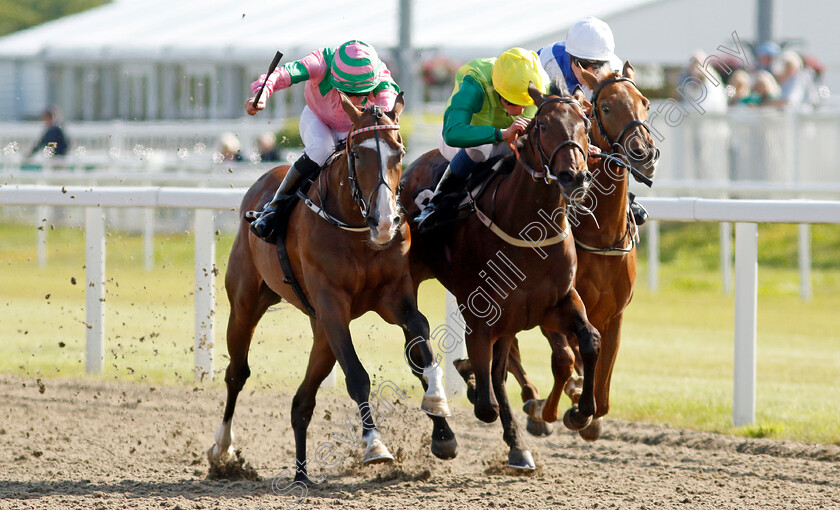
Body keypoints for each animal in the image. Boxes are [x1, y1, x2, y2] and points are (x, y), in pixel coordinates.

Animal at [212, 93, 460, 484]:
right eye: (356, 154)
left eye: (400, 152)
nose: (385, 221)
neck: (357, 230)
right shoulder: (332, 306)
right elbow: (357, 375)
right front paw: (375, 445)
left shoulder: (394, 296)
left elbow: (421, 341)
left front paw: (442, 421)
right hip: (246, 305)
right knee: (237, 373)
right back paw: (222, 450)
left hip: (320, 333)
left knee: (302, 401)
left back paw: (301, 474)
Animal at [398, 84, 596, 470]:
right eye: (543, 126)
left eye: (585, 123)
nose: (574, 176)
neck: (528, 230)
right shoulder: (482, 316)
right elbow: (485, 401)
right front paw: (470, 379)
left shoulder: (555, 304)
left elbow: (589, 342)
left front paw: (579, 413)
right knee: (417, 352)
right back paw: (444, 435)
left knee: (498, 374)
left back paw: (518, 446)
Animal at [508, 62, 660, 438]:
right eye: (603, 108)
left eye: (645, 102)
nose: (644, 154)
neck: (601, 234)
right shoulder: (557, 307)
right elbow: (565, 361)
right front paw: (554, 408)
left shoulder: (613, 316)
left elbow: (602, 388)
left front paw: (587, 413)